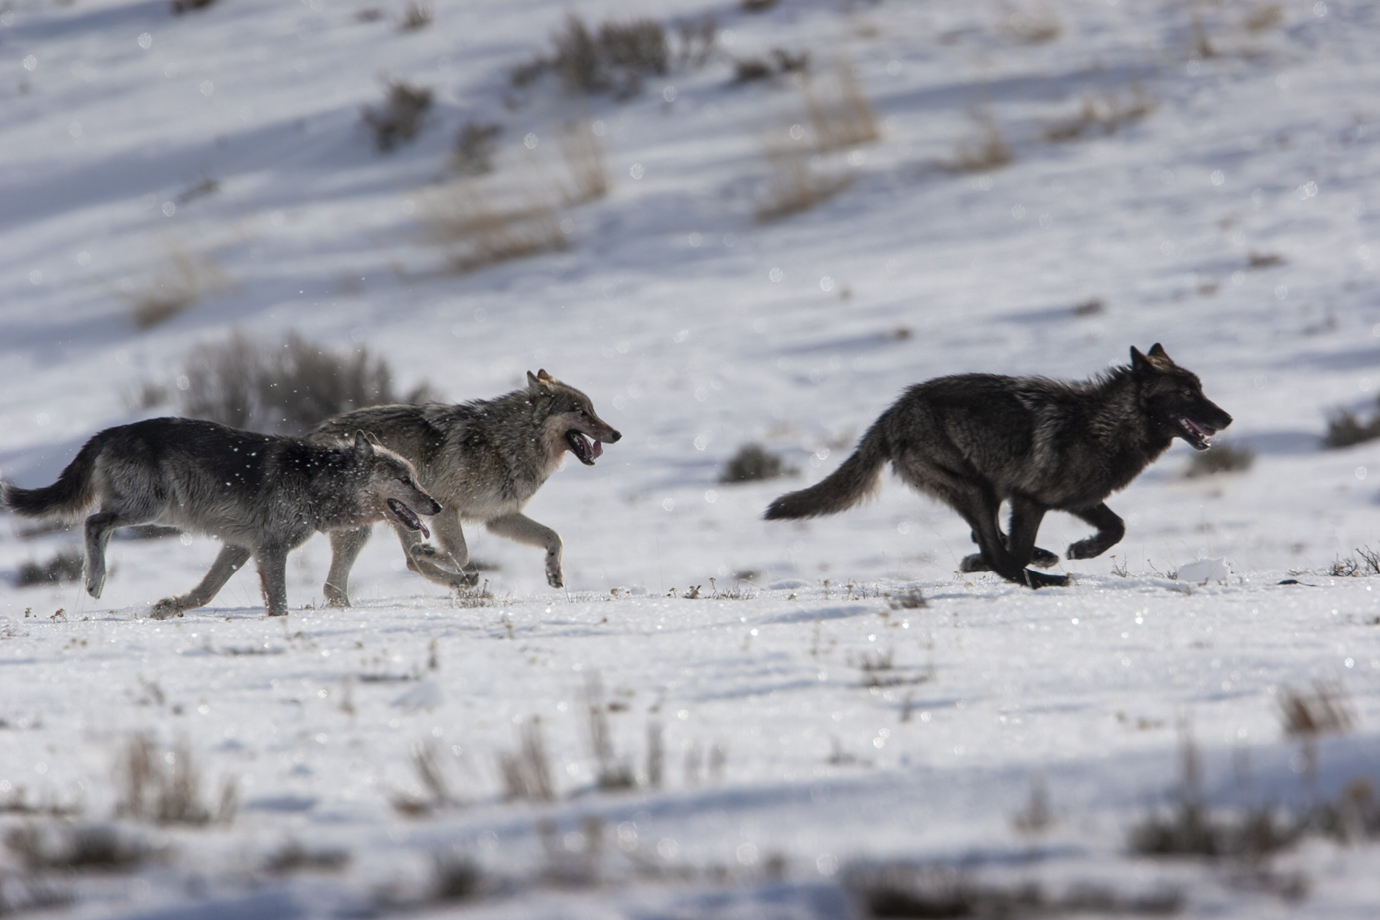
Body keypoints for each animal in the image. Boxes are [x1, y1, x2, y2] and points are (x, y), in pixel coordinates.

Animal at [0, 416, 438, 617]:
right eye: (405, 479)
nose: (436, 506)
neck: (317, 481)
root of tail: (108, 431)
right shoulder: (271, 550)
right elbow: (279, 603)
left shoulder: (240, 547)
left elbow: (206, 591)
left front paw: (169, 607)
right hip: (150, 509)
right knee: (93, 524)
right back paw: (95, 580)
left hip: (148, 511)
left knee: (99, 527)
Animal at [310, 366, 623, 604]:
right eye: (580, 412)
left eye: (592, 409)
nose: (617, 434)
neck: (508, 442)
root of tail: (312, 434)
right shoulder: (446, 507)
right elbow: (462, 553)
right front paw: (438, 555)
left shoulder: (499, 517)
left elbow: (554, 536)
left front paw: (553, 572)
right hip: (385, 519)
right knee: (397, 564)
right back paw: (455, 576)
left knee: (342, 584)